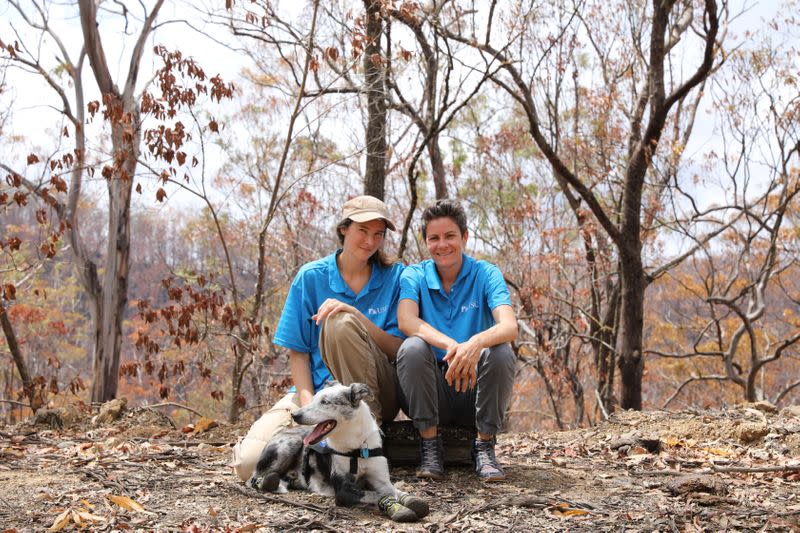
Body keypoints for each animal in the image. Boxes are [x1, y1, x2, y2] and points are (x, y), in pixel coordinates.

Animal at [247, 382, 428, 520]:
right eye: (313, 400)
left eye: (325, 402)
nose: (294, 415)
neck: (356, 447)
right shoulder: (343, 491)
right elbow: (375, 494)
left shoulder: (381, 479)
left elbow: (394, 490)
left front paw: (410, 500)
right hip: (289, 444)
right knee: (256, 477)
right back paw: (271, 483)